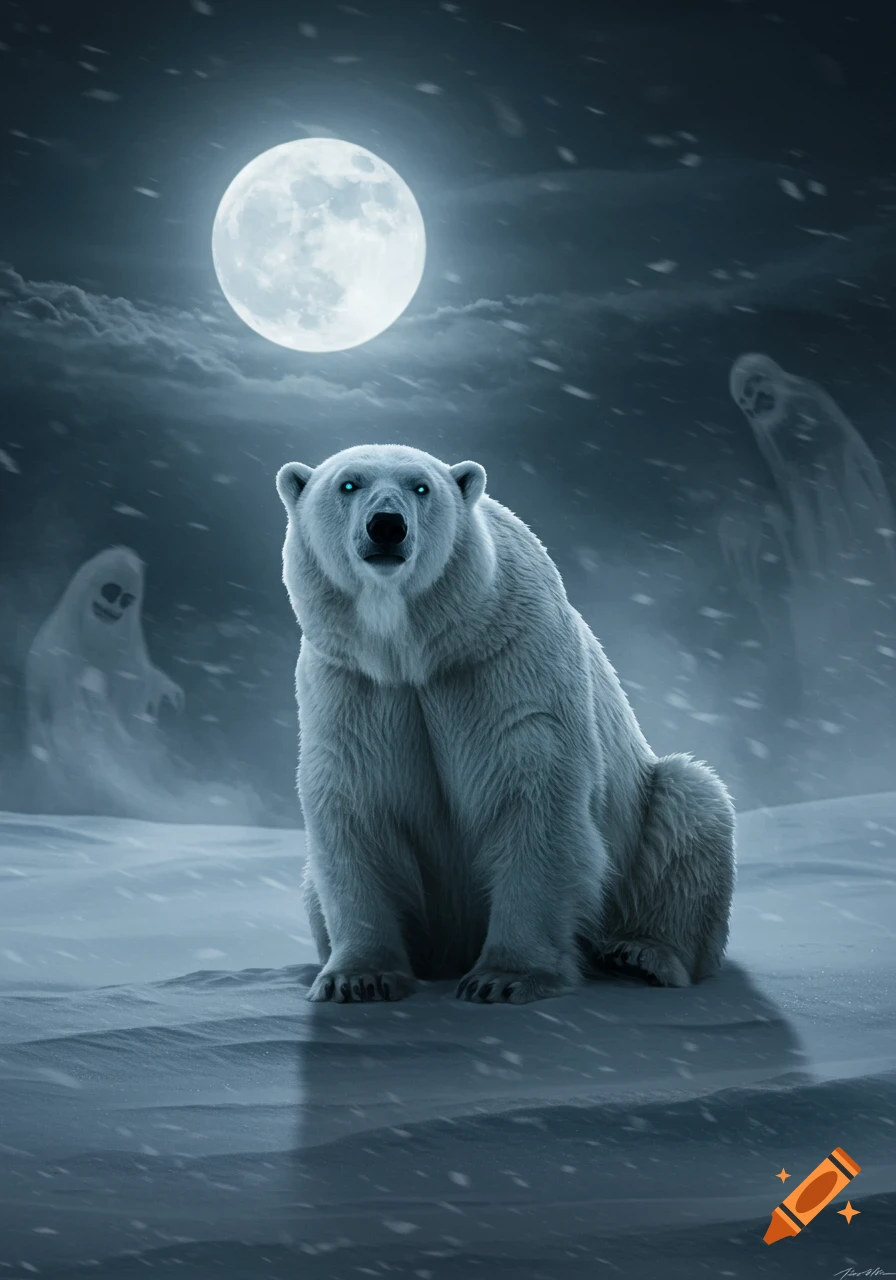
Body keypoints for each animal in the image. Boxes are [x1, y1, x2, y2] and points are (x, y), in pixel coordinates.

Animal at [276, 444, 736, 1004]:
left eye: (420, 487)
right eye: (349, 484)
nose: (387, 526)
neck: (414, 650)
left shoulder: (507, 662)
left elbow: (532, 795)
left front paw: (503, 978)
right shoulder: (354, 684)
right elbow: (356, 805)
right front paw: (357, 978)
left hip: (647, 825)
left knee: (690, 807)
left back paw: (640, 955)